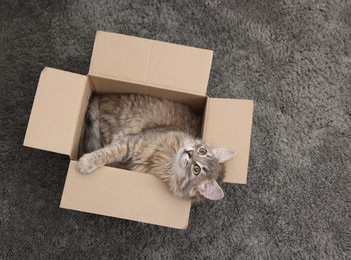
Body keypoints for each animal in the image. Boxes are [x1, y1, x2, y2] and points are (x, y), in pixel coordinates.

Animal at [78, 93, 235, 201]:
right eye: (202, 151)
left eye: (196, 170)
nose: (189, 152)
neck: (167, 157)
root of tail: (101, 96)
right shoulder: (130, 143)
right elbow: (105, 153)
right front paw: (86, 162)